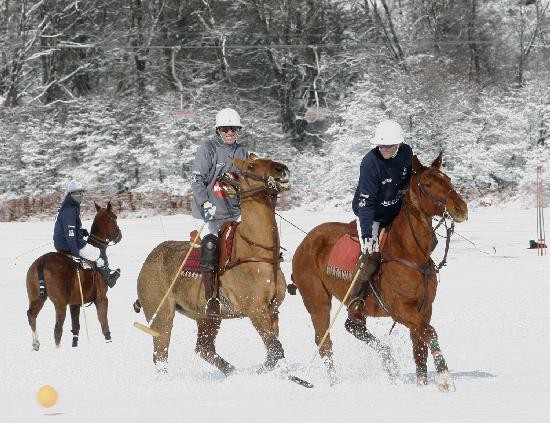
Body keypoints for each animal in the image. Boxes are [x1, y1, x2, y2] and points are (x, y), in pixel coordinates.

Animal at [26, 202, 123, 352]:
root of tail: (42, 262)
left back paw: (36, 344)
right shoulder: (101, 298)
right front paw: (109, 342)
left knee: (31, 315)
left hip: (37, 297)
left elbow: (75, 328)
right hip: (60, 303)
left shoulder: (75, 302)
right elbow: (104, 323)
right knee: (57, 329)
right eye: (114, 218)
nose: (119, 235)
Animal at [137, 157, 294, 376]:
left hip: (206, 316)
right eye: (251, 166)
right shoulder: (256, 311)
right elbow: (275, 348)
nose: (282, 169)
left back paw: (232, 372)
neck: (258, 252)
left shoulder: (273, 311)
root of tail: (150, 257)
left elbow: (273, 351)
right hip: (161, 315)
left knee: (204, 348)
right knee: (160, 354)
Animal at [294, 152, 470, 390]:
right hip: (317, 301)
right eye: (427, 184)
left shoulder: (424, 308)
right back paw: (333, 383)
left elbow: (419, 347)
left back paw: (388, 361)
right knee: (324, 341)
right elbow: (429, 332)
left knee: (353, 326)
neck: (412, 253)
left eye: (448, 179)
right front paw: (444, 378)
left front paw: (422, 383)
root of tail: (305, 241)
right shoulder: (401, 309)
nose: (461, 208)